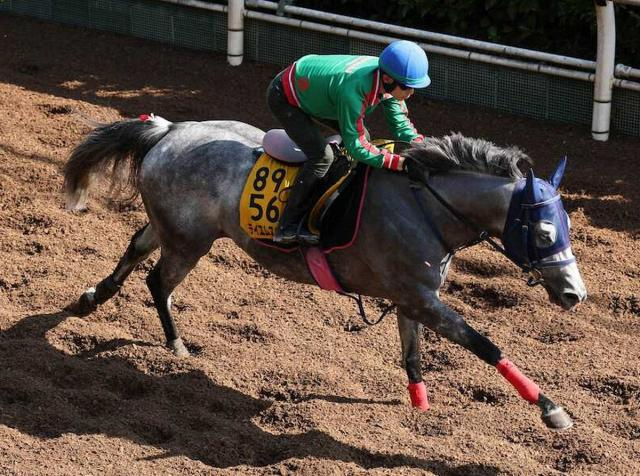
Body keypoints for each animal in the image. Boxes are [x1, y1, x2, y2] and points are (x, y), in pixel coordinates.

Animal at [63, 116, 587, 430]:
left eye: (567, 226)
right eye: (544, 232)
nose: (575, 294)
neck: (427, 206)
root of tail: (169, 131)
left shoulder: (412, 297)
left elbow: (412, 354)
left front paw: (418, 407)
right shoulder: (422, 298)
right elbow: (484, 344)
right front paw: (552, 409)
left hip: (173, 228)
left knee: (135, 248)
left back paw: (92, 297)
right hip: (190, 242)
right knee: (159, 282)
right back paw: (174, 344)